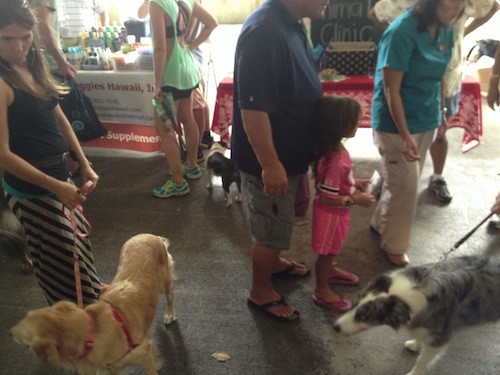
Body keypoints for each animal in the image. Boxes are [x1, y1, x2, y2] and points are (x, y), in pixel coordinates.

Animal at [9, 234, 176, 374]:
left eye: (23, 327)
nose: (10, 332)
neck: (91, 333)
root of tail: (147, 235)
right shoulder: (109, 369)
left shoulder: (143, 352)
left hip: (164, 281)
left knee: (170, 295)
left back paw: (169, 314)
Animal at [334, 256, 500, 375]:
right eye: (354, 304)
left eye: (364, 317)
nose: (335, 327)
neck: (407, 293)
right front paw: (415, 343)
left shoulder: (440, 338)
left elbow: (422, 360)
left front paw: (414, 373)